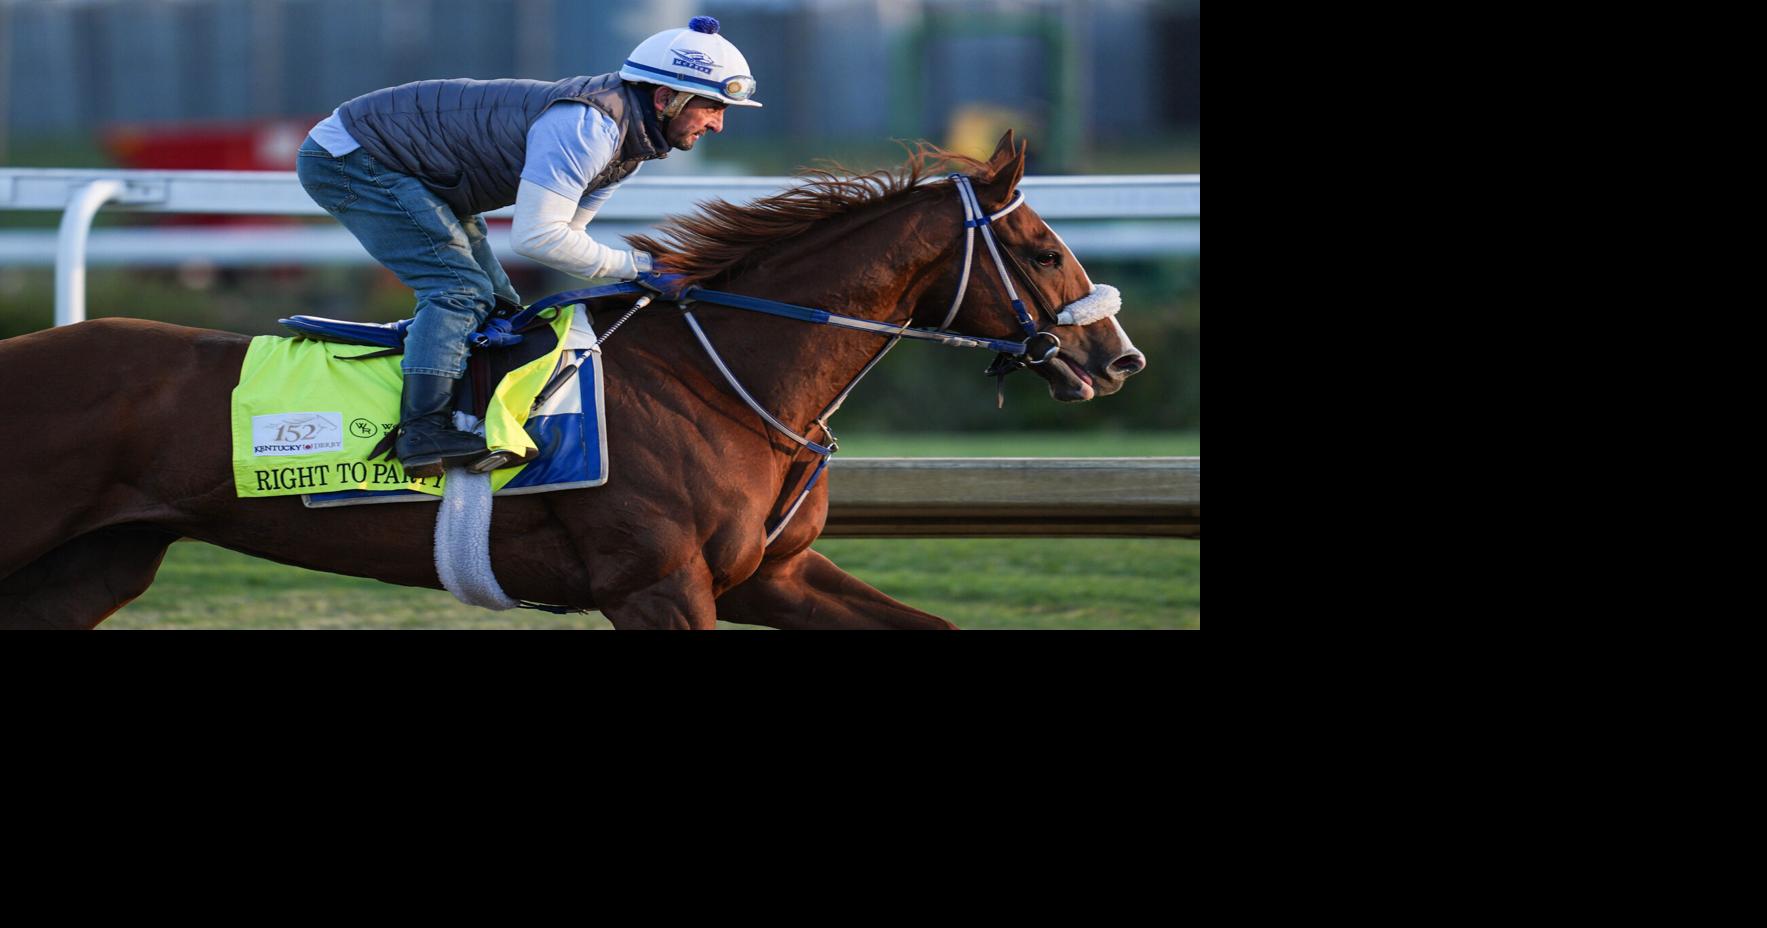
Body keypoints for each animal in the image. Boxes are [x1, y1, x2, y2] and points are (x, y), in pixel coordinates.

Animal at [0, 132, 1146, 629]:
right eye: (1042, 249)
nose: (1117, 357)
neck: (720, 378)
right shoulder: (657, 586)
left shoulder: (768, 577)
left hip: (90, 568)